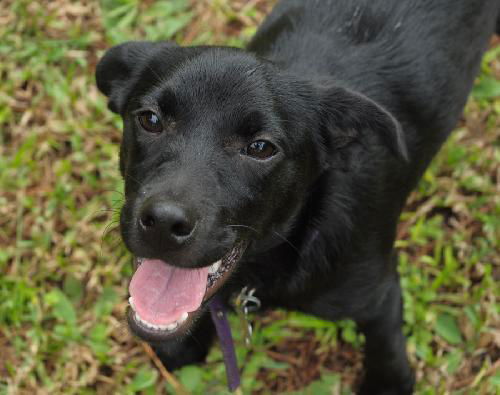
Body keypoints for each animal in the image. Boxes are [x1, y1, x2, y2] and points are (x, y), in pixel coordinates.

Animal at [95, 2, 498, 392]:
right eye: (150, 119)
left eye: (260, 148)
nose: (163, 223)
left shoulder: (378, 291)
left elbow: (384, 339)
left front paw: (389, 382)